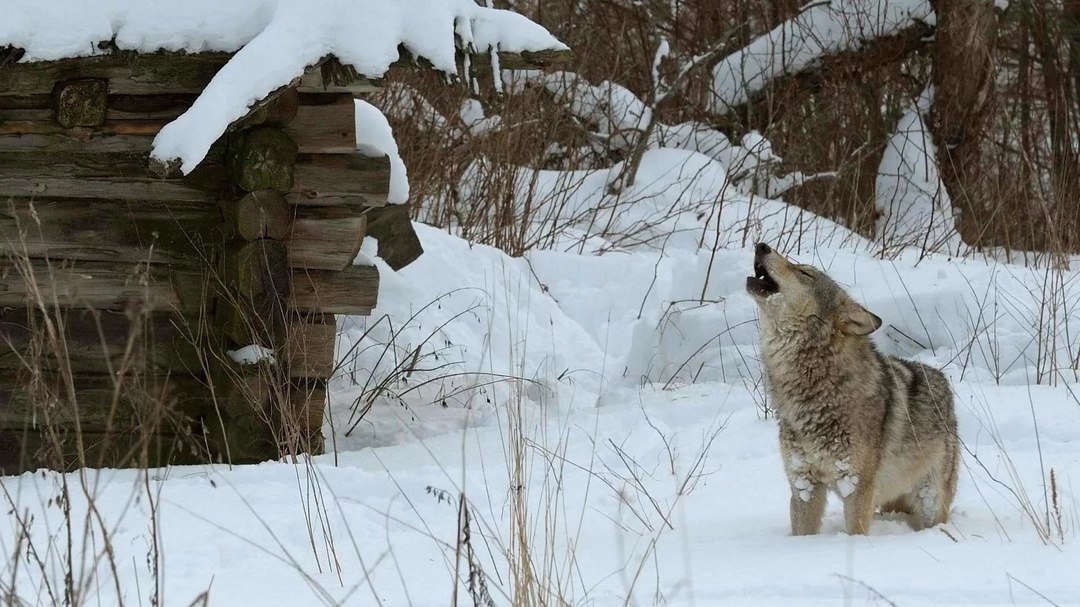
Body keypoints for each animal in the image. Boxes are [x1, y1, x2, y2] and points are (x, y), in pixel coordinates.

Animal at [747, 241, 959, 533]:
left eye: (804, 272)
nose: (761, 245)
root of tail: (942, 380)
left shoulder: (857, 485)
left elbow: (856, 532)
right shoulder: (803, 484)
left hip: (930, 499)